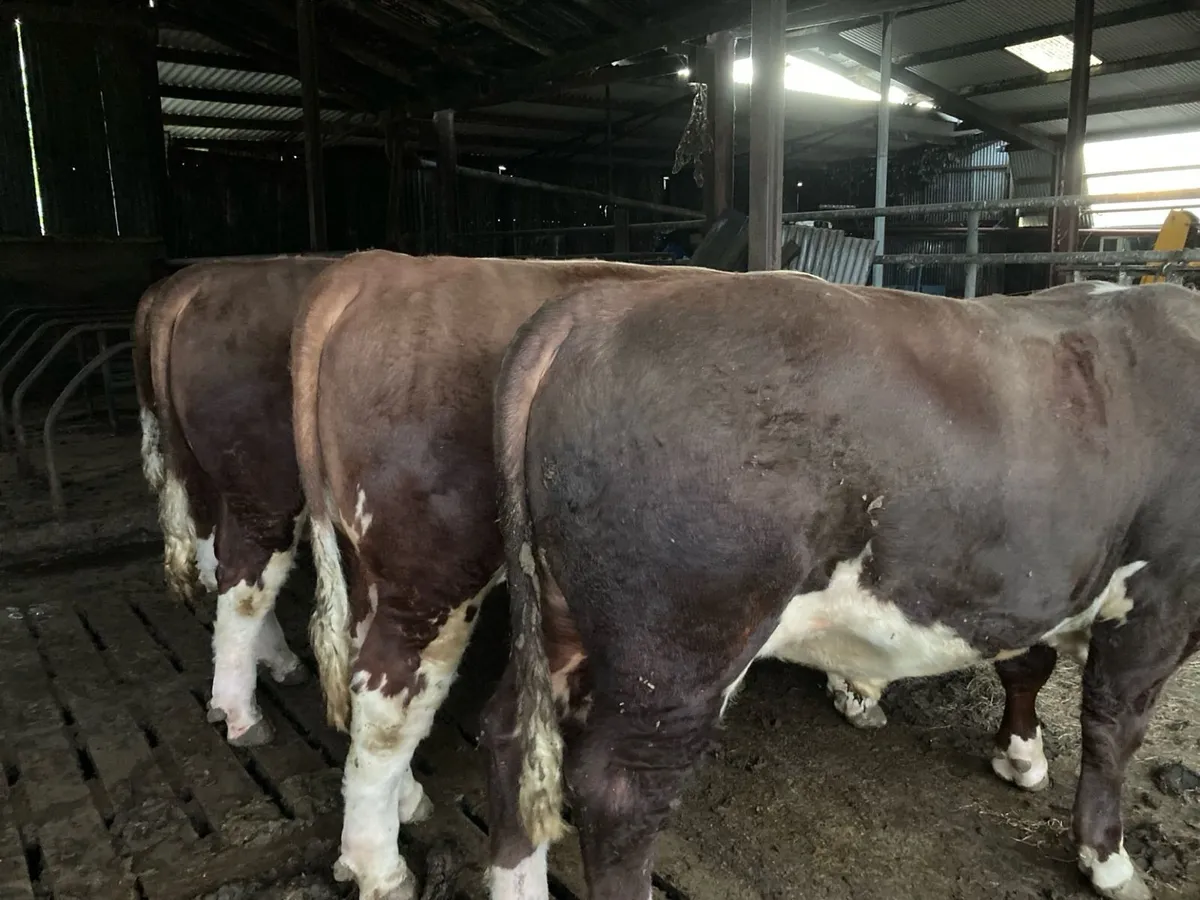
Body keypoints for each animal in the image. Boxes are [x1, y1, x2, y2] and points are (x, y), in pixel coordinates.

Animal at [134, 256, 336, 746]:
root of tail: (194, 284)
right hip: (265, 483)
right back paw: (242, 714)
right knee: (244, 580)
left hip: (204, 473)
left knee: (218, 555)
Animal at [289, 250, 722, 900]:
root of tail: (379, 265)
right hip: (432, 570)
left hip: (371, 557)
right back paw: (381, 869)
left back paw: (402, 805)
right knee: (388, 694)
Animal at [482, 274, 1200, 900]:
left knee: (513, 741)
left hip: (561, 614)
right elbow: (1113, 728)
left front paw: (1020, 755)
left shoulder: (1043, 579)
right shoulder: (1161, 598)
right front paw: (1107, 858)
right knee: (620, 794)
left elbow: (1027, 662)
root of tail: (599, 304)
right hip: (681, 648)